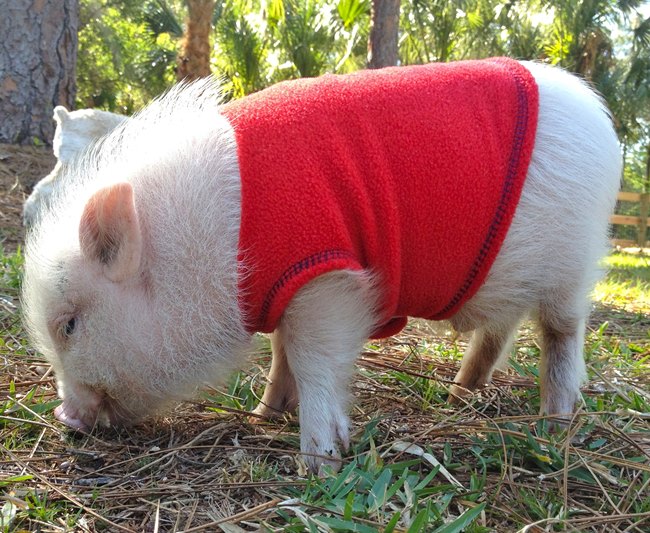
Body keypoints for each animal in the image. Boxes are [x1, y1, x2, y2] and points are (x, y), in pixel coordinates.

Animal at [22, 59, 621, 473]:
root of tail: (598, 112)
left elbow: (314, 360)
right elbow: (281, 353)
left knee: (561, 336)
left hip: (573, 266)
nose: (64, 417)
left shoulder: (329, 281)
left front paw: (317, 463)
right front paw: (266, 416)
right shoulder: (287, 291)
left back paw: (551, 427)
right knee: (499, 330)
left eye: (69, 324)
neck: (209, 243)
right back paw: (460, 395)